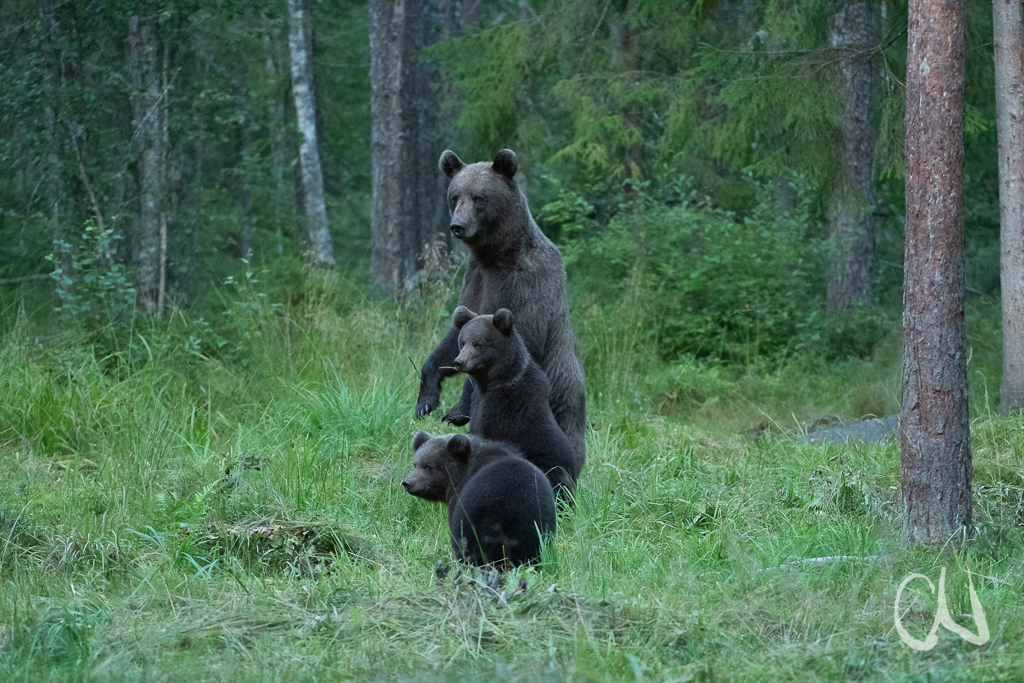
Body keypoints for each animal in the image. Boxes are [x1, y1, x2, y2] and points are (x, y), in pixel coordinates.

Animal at [413, 149, 589, 479]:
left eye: (479, 197)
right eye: (454, 196)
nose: (457, 225)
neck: (495, 256)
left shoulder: (526, 285)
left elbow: (518, 341)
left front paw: (459, 409)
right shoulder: (474, 281)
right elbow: (455, 333)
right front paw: (427, 399)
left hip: (562, 400)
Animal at [452, 305, 581, 501]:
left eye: (478, 344)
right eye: (462, 342)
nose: (459, 361)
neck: (492, 381)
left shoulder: (505, 408)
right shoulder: (478, 402)